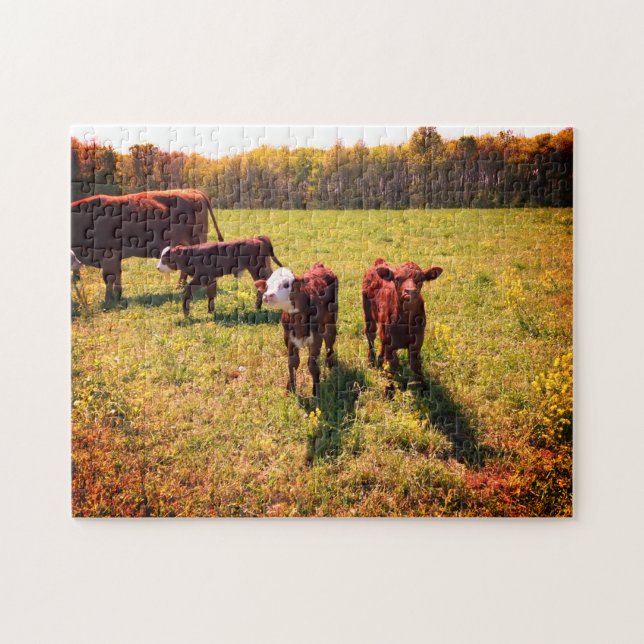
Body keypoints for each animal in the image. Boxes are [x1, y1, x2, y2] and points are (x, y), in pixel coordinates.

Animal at [71, 189, 224, 303]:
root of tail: (191, 190)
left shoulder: (108, 255)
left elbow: (109, 277)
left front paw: (108, 300)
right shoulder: (115, 257)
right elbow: (117, 275)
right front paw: (118, 296)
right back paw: (180, 287)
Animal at [255, 263, 338, 397]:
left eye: (286, 284)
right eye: (267, 285)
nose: (267, 296)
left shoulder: (316, 338)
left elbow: (312, 365)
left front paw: (316, 391)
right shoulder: (288, 337)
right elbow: (293, 363)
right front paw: (290, 389)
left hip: (331, 318)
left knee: (330, 338)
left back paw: (329, 362)